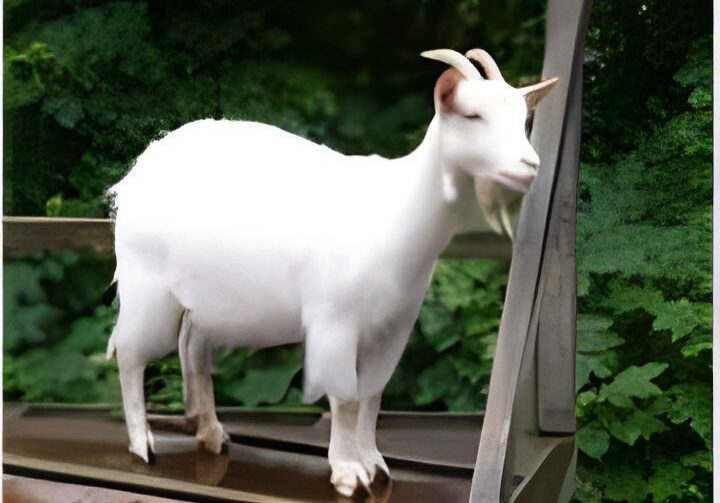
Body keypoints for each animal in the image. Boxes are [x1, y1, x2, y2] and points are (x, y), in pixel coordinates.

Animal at [106, 48, 557, 496]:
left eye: (524, 120)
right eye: (472, 115)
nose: (530, 164)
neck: (398, 209)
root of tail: (138, 170)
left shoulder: (394, 328)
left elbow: (372, 397)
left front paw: (375, 464)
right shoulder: (335, 320)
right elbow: (346, 397)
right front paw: (348, 472)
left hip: (208, 301)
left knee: (193, 349)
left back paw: (211, 432)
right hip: (147, 287)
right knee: (129, 352)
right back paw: (141, 445)